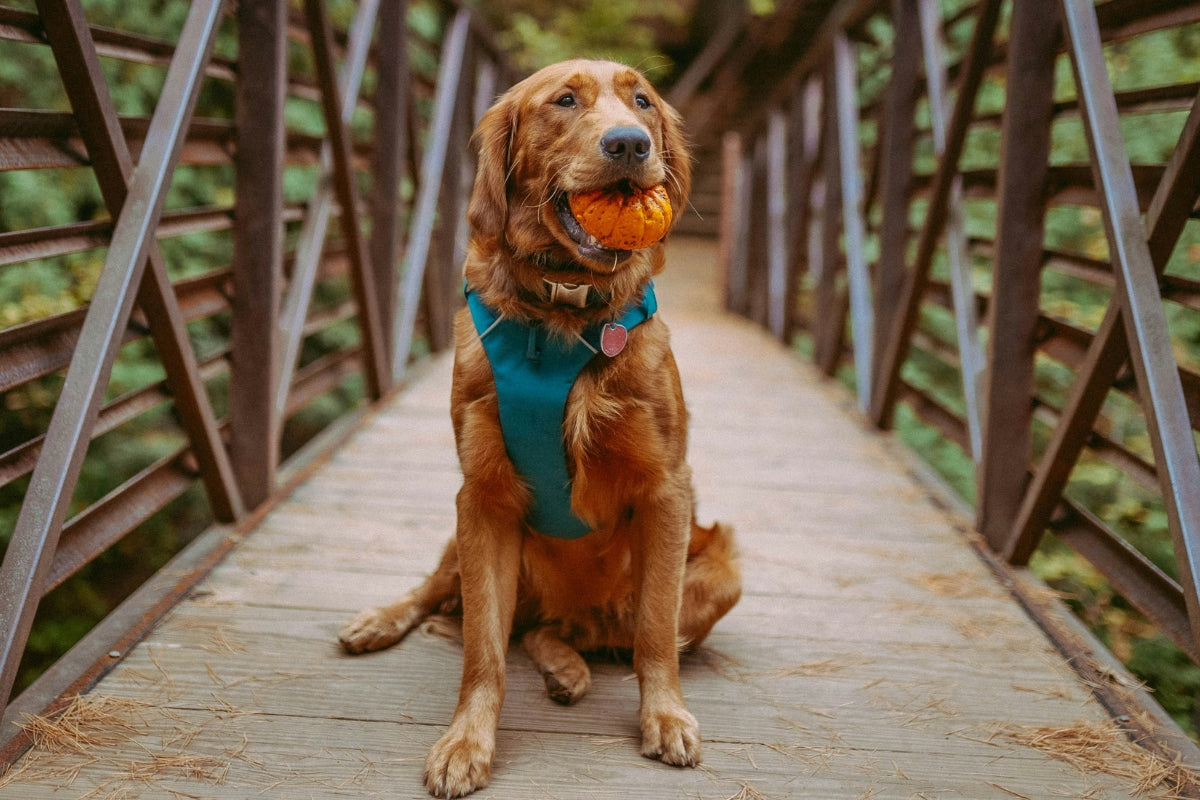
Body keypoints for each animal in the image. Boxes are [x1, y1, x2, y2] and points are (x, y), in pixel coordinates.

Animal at [338, 59, 739, 796]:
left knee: (567, 632)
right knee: (451, 597)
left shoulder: (667, 491)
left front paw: (665, 717)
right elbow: (483, 652)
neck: (567, 309)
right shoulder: (483, 497)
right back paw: (381, 621)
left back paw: (567, 666)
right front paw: (466, 742)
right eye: (565, 100)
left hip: (721, 571)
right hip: (467, 538)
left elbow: (654, 633)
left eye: (643, 101)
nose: (630, 143)